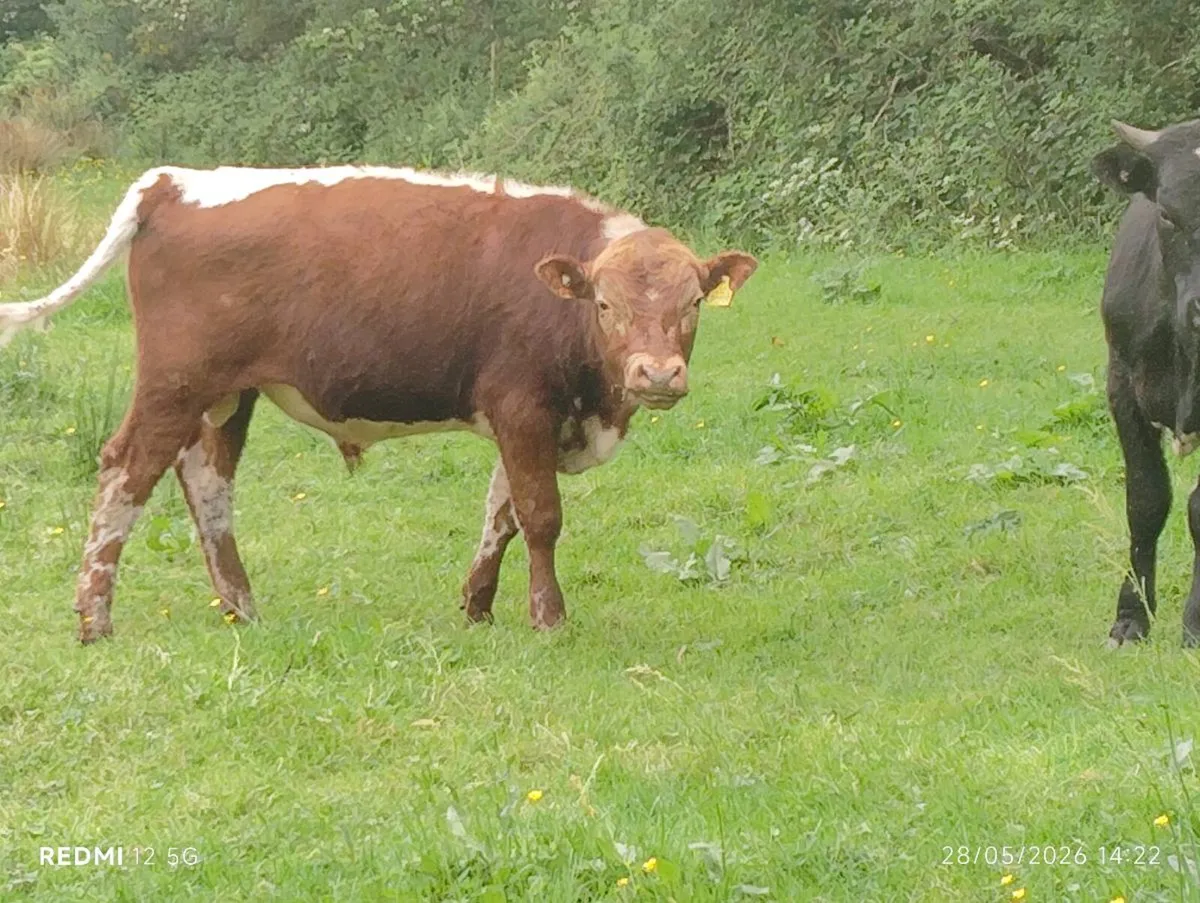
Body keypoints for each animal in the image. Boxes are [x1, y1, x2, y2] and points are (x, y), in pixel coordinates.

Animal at [0, 165, 756, 643]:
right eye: (604, 304)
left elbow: (500, 513)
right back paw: (95, 618)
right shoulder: (522, 406)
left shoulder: (525, 421)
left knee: (206, 480)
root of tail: (174, 182)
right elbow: (540, 516)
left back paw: (240, 606)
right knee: (127, 470)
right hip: (175, 381)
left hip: (224, 394)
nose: (657, 372)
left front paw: (477, 606)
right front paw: (548, 618)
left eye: (693, 304)